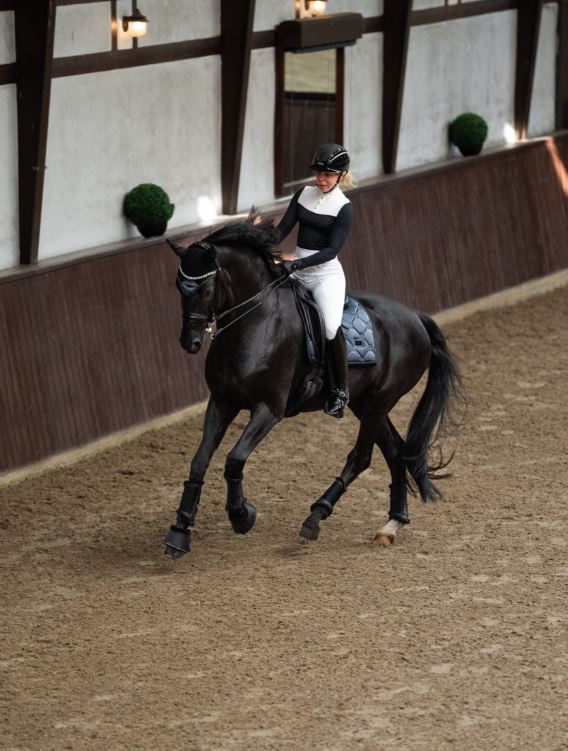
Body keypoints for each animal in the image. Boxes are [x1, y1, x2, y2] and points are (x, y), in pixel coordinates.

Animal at [163, 219, 462, 560]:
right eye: (178, 286)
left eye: (205, 288)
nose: (190, 342)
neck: (255, 323)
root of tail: (416, 317)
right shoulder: (222, 401)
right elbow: (199, 462)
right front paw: (179, 532)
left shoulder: (269, 409)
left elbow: (234, 459)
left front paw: (241, 515)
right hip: (366, 402)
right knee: (395, 452)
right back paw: (391, 525)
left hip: (380, 401)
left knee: (361, 457)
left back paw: (315, 517)